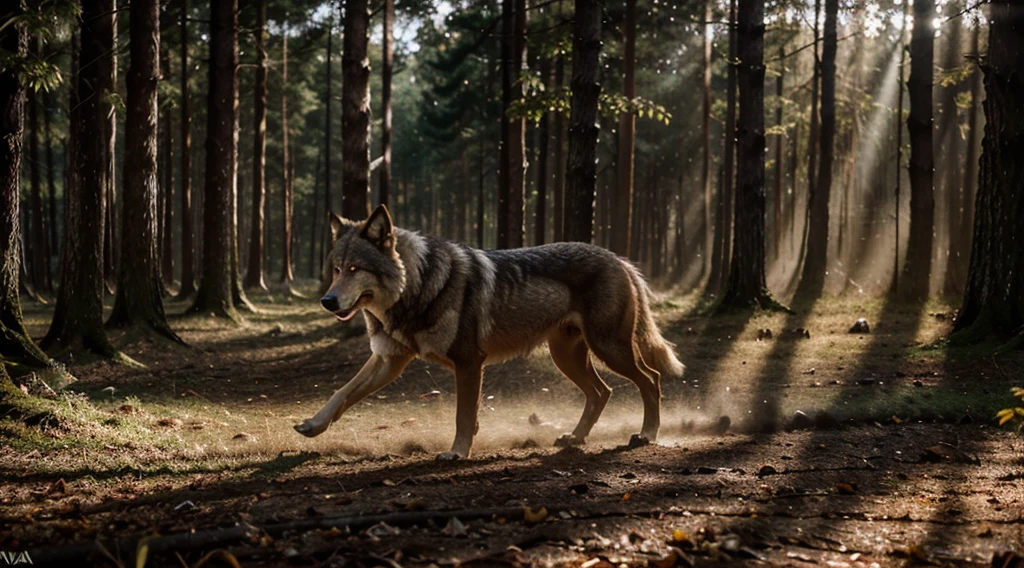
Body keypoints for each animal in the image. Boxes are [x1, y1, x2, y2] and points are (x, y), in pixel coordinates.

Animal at [292, 206, 684, 460]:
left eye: (355, 269)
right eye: (337, 269)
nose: (327, 301)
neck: (418, 288)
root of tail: (620, 259)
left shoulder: (469, 362)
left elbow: (463, 415)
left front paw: (456, 453)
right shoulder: (389, 360)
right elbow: (342, 392)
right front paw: (313, 425)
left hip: (608, 349)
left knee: (650, 379)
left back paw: (646, 435)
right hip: (567, 357)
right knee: (602, 392)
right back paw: (574, 438)